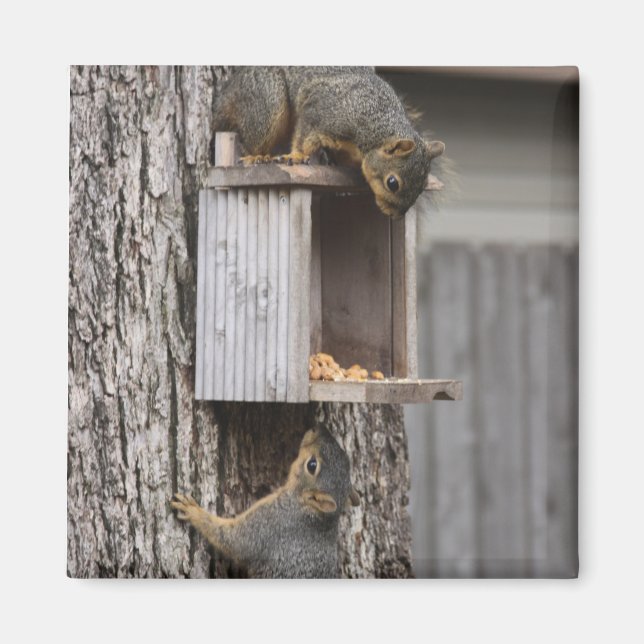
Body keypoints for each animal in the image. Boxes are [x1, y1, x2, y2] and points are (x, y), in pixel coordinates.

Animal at [170, 427, 359, 578]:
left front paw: (192, 510)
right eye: (346, 459)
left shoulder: (269, 524)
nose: (318, 428)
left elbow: (233, 540)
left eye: (312, 465)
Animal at [212, 66, 445, 219]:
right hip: (268, 100)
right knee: (253, 138)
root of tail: (229, 91)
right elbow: (304, 136)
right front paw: (297, 156)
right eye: (392, 183)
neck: (375, 124)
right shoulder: (321, 114)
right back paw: (257, 156)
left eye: (422, 187)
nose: (396, 216)